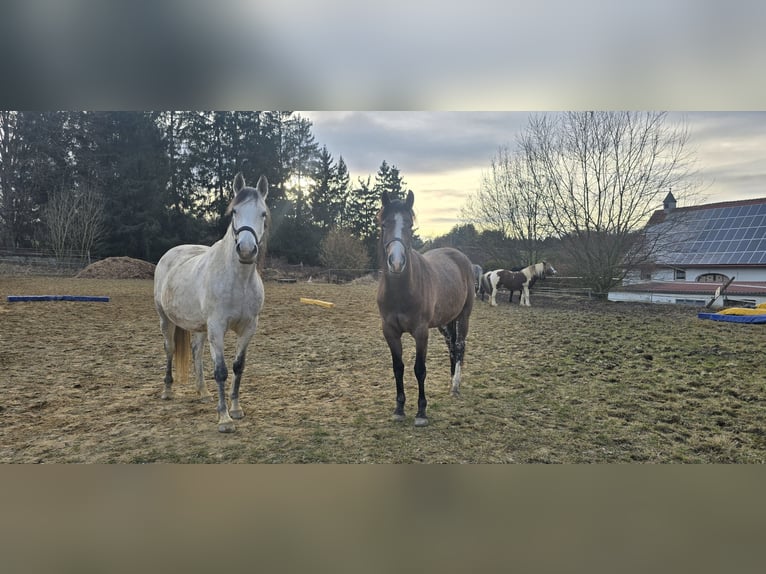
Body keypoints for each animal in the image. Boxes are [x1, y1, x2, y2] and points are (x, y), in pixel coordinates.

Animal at [153, 173, 270, 433]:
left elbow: (238, 367)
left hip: (199, 326)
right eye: (234, 211)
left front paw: (235, 409)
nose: (246, 250)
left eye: (263, 214)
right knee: (170, 349)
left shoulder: (249, 328)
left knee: (196, 351)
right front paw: (224, 419)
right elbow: (221, 371)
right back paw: (167, 390)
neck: (238, 280)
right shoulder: (217, 327)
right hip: (166, 319)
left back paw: (203, 392)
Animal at [376, 190, 475, 426]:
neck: (402, 291)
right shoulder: (390, 332)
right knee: (451, 346)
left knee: (459, 346)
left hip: (464, 316)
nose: (396, 262)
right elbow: (398, 368)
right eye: (384, 224)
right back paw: (451, 380)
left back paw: (456, 386)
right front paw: (399, 409)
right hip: (445, 322)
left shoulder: (421, 332)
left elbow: (419, 369)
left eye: (410, 225)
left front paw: (421, 412)